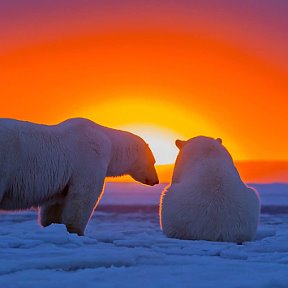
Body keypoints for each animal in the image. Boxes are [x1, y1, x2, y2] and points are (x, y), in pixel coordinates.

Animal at [0, 118, 159, 235]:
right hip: (7, 161)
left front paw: (53, 227)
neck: (109, 142)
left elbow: (56, 204)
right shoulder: (90, 159)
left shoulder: (64, 179)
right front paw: (76, 231)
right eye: (153, 161)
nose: (156, 181)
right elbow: (83, 196)